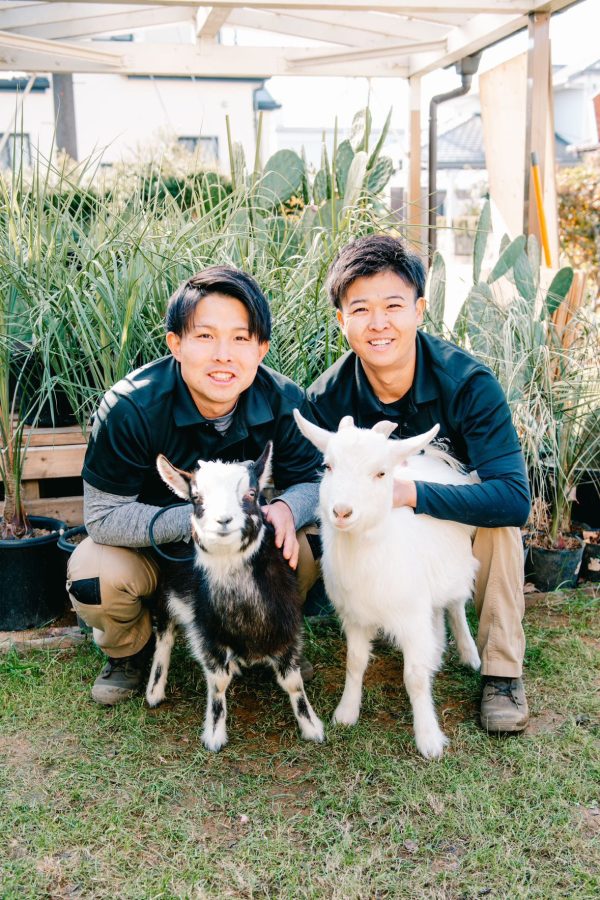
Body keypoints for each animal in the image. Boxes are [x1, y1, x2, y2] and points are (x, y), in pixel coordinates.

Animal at [292, 414, 480, 760]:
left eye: (380, 473)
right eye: (328, 466)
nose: (341, 511)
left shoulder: (411, 616)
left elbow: (415, 677)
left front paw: (428, 739)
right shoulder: (355, 616)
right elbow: (355, 662)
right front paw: (346, 712)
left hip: (456, 568)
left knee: (456, 606)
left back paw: (469, 654)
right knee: (436, 613)